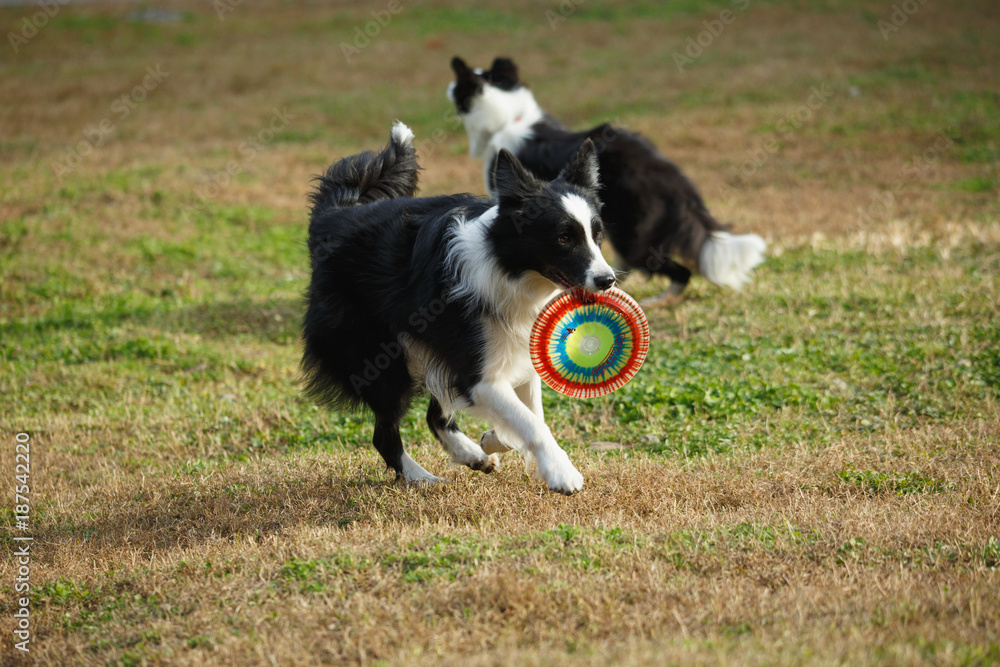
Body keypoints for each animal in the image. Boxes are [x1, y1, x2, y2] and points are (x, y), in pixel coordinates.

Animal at [302, 121, 616, 496]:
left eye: (597, 235)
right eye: (563, 238)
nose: (607, 280)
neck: (507, 268)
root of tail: (332, 216)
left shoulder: (514, 355)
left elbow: (527, 417)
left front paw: (494, 440)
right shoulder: (477, 374)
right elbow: (532, 423)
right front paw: (561, 472)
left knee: (433, 414)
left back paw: (471, 455)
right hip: (380, 357)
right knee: (384, 434)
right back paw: (421, 478)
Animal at [446, 57, 764, 302]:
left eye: (459, 86)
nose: (448, 87)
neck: (509, 117)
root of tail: (672, 177)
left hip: (630, 236)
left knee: (673, 270)